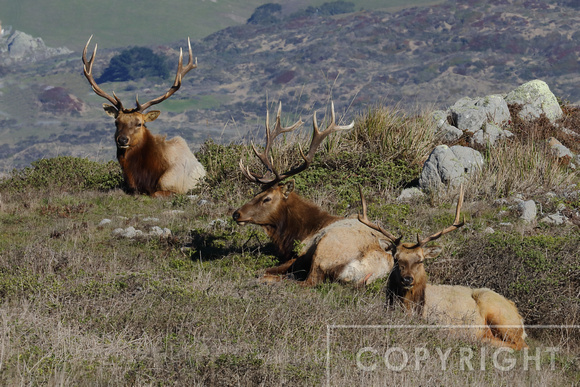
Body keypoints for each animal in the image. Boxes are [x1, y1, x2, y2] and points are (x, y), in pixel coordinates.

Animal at [82, 36, 206, 197]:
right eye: (116, 122)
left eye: (139, 123)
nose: (122, 140)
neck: (143, 177)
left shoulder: (174, 187)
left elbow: (156, 193)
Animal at [231, 103, 394, 288]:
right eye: (257, 193)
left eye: (267, 198)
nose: (236, 214)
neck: (299, 232)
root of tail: (375, 265)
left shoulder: (301, 251)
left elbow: (268, 269)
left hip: (325, 249)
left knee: (307, 282)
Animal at [356, 186, 528, 352]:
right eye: (396, 259)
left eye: (421, 260)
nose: (407, 279)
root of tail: (520, 317)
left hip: (497, 311)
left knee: (521, 345)